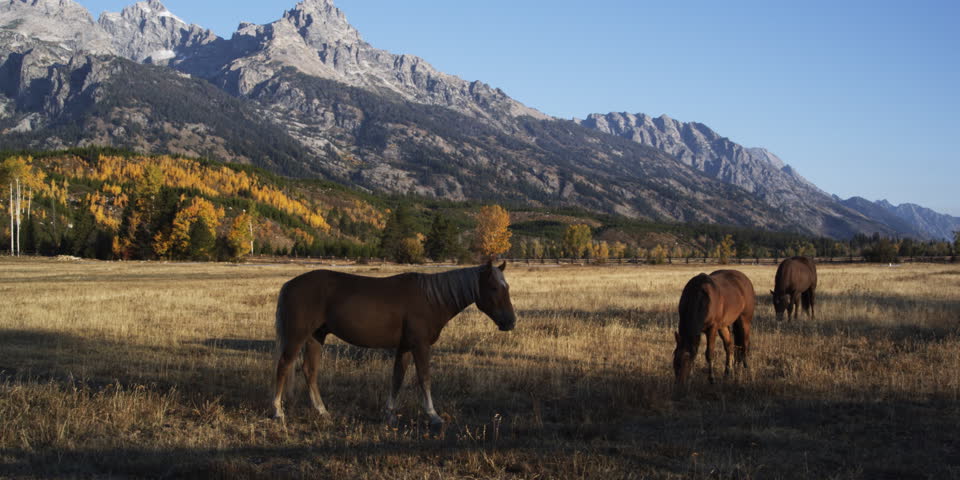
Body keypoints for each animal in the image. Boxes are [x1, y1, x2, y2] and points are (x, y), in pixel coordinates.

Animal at [272, 261, 516, 430]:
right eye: (494, 288)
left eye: (507, 287)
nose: (510, 322)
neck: (432, 299)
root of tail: (290, 284)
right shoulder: (420, 346)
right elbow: (424, 378)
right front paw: (433, 416)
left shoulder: (405, 347)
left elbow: (397, 377)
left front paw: (389, 414)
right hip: (297, 336)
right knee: (283, 366)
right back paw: (277, 412)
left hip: (316, 336)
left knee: (309, 371)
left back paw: (323, 412)